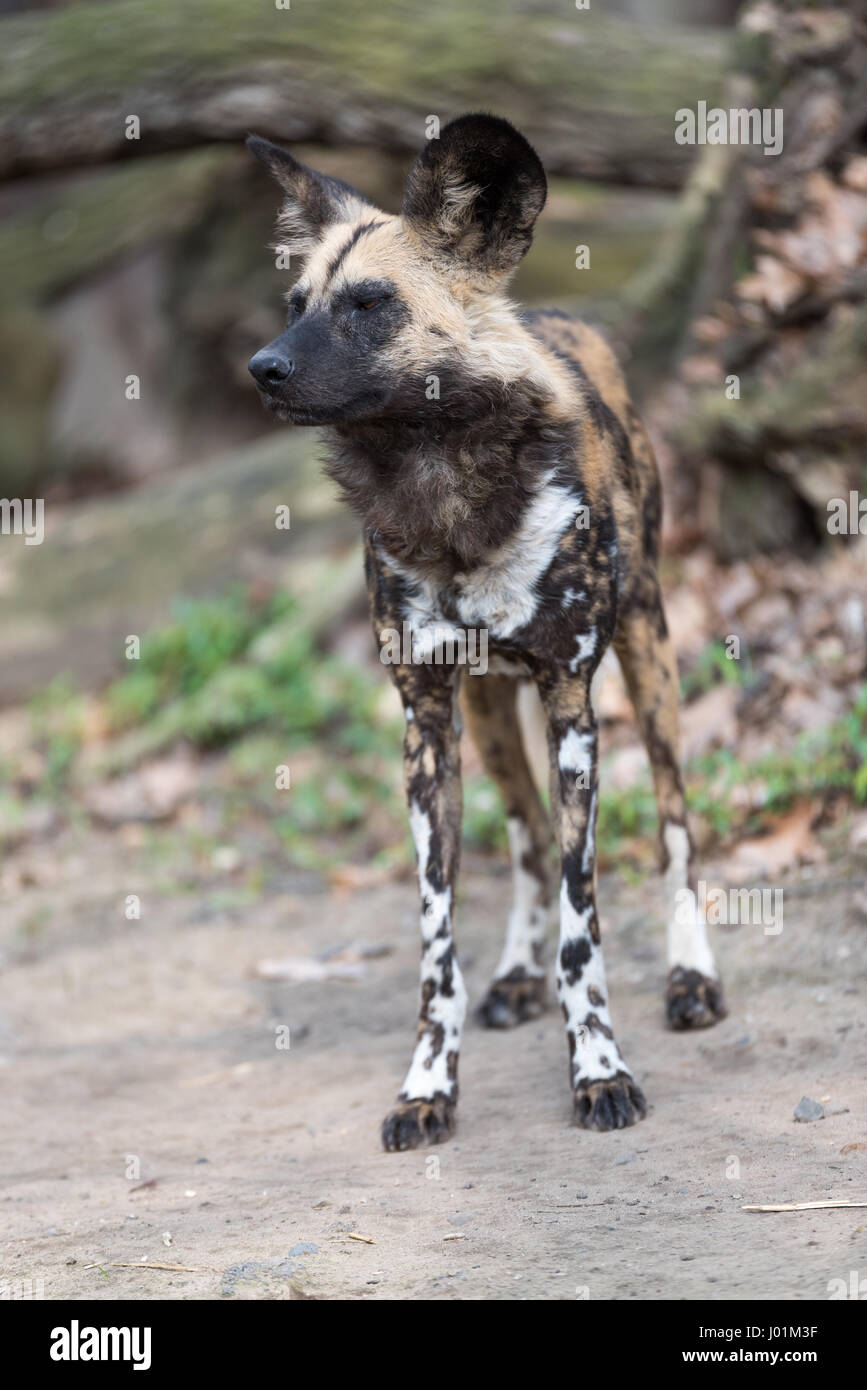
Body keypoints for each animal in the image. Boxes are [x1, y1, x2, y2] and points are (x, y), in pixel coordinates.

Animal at [247, 111, 728, 1150]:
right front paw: (428, 1085)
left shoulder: (572, 706)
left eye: (369, 304)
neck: (440, 482)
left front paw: (599, 1074)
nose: (262, 366)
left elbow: (586, 923)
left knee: (674, 826)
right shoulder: (427, 726)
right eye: (297, 301)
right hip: (492, 716)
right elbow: (440, 947)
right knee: (529, 836)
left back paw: (691, 979)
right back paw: (514, 974)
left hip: (648, 661)